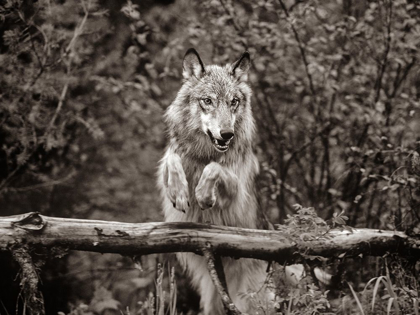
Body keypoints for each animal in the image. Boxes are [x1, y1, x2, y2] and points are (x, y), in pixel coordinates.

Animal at [158, 48, 272, 314]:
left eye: (233, 102)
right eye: (207, 101)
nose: (227, 134)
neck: (203, 153)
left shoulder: (236, 192)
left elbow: (214, 168)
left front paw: (202, 194)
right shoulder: (168, 161)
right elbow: (173, 160)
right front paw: (180, 193)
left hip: (249, 299)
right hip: (212, 298)